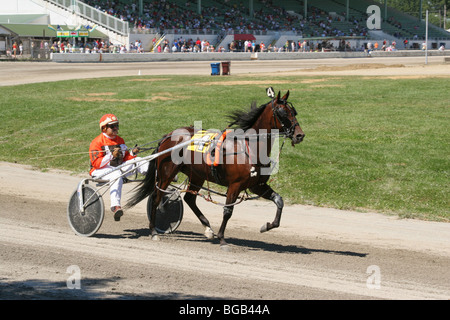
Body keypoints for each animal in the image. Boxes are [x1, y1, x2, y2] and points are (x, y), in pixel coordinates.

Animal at [125, 90, 304, 250]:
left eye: (293, 112)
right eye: (282, 112)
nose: (300, 135)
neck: (248, 148)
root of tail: (168, 136)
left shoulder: (256, 185)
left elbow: (279, 201)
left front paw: (267, 226)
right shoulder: (235, 185)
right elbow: (228, 211)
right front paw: (222, 239)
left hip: (197, 175)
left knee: (189, 199)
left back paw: (208, 228)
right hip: (166, 173)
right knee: (157, 197)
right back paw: (154, 231)